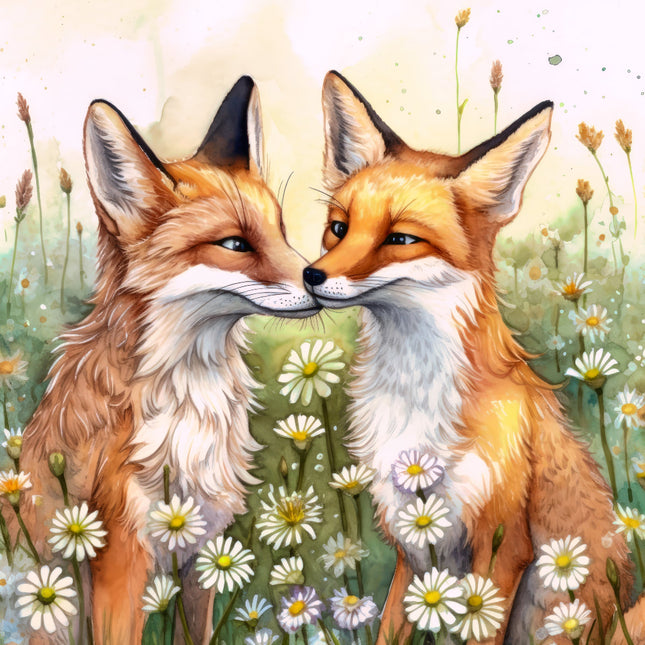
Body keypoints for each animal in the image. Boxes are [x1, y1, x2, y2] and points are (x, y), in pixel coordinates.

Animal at [12, 76, 318, 644]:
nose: (321, 280)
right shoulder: (121, 557)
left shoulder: (204, 553)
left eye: (282, 233)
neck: (189, 411)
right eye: (234, 244)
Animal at [302, 71, 636, 644]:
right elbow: (391, 627)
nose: (310, 276)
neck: (416, 401)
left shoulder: (502, 545)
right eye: (339, 228)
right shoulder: (413, 546)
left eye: (401, 238)